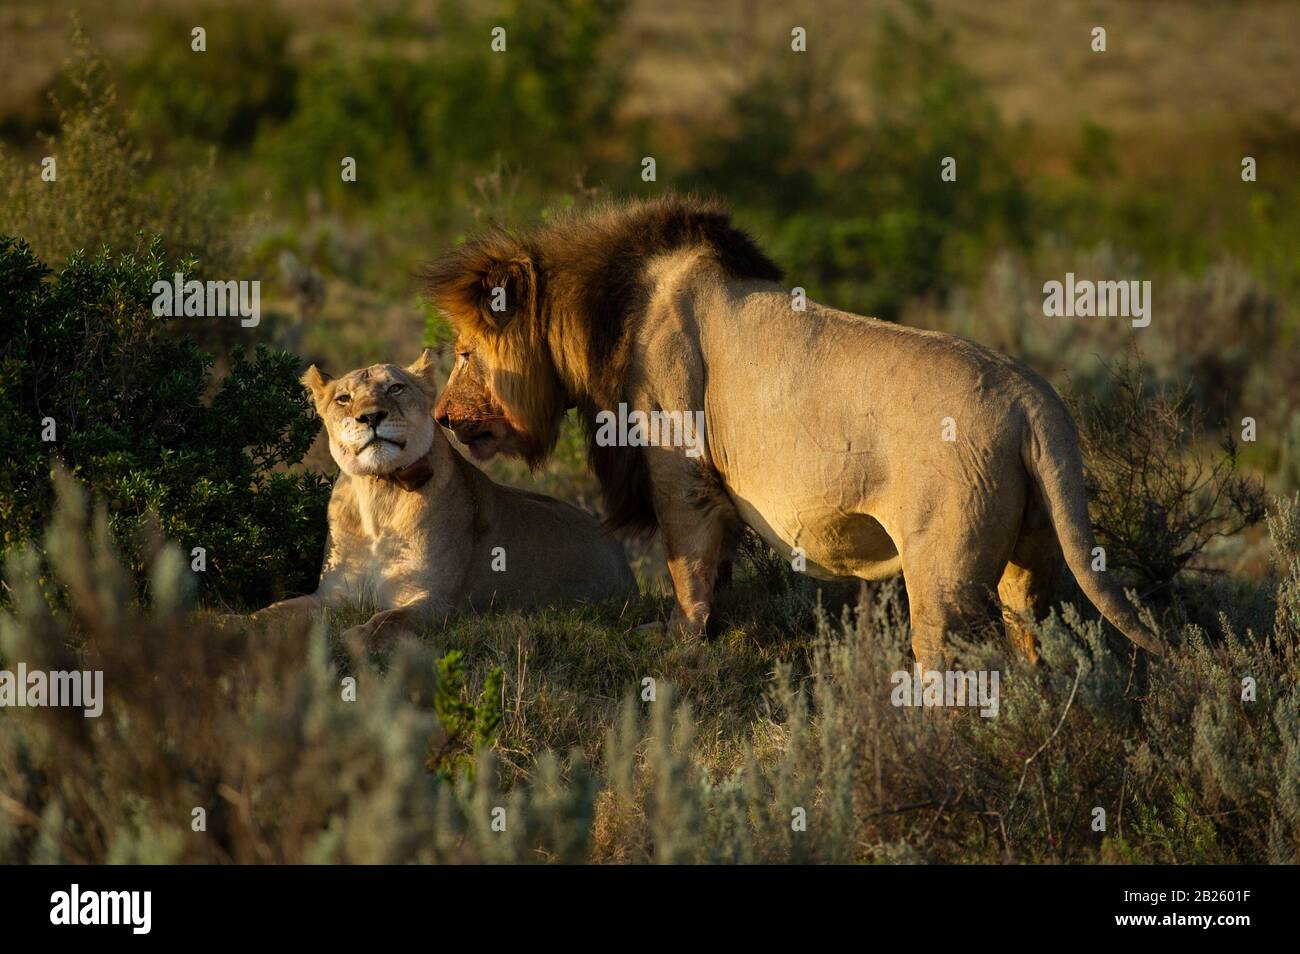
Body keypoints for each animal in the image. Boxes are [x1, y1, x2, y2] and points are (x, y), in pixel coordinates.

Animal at [251, 349, 637, 644]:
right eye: (343, 398)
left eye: (395, 388)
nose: (371, 417)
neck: (379, 492)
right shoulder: (334, 594)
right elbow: (279, 610)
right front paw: (245, 624)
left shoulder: (434, 601)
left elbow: (387, 621)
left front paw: (357, 637)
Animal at [422, 195, 1167, 670]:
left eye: (462, 352)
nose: (440, 418)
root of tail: (1034, 402)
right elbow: (715, 564)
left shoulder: (676, 461)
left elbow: (686, 560)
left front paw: (682, 636)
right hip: (1031, 557)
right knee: (1031, 642)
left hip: (944, 571)